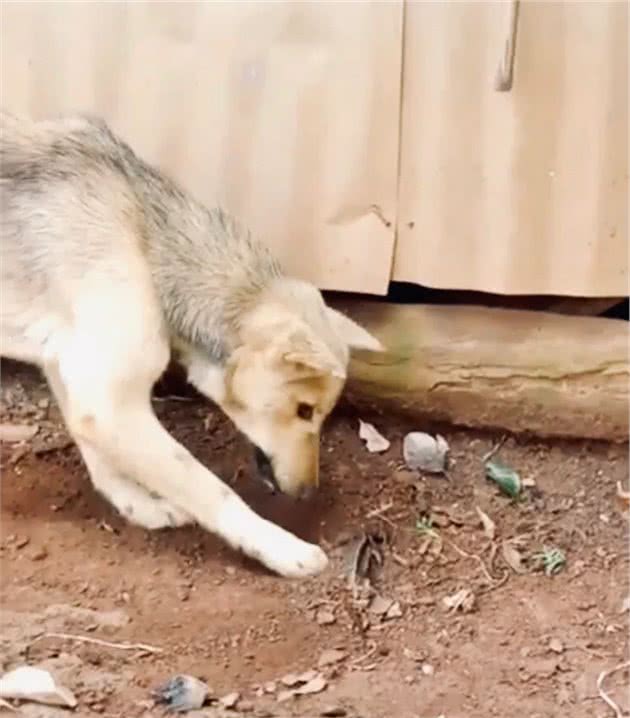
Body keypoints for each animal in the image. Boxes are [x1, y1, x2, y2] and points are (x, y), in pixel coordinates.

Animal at [1, 108, 386, 580]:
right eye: (304, 410)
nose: (308, 494)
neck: (149, 241)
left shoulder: (76, 376)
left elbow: (97, 452)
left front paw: (137, 506)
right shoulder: (111, 405)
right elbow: (210, 488)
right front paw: (280, 547)